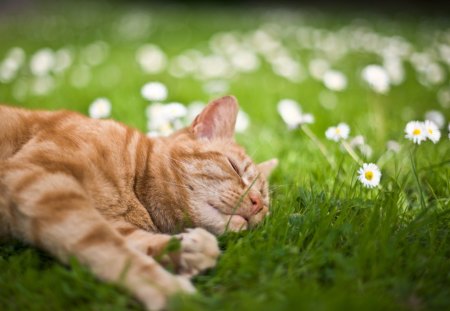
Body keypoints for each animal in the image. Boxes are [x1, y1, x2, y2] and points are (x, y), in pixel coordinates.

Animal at [0, 96, 278, 310]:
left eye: (265, 205)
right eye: (234, 167)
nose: (256, 203)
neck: (134, 186)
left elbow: (134, 242)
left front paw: (187, 249)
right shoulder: (41, 180)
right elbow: (110, 248)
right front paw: (170, 292)